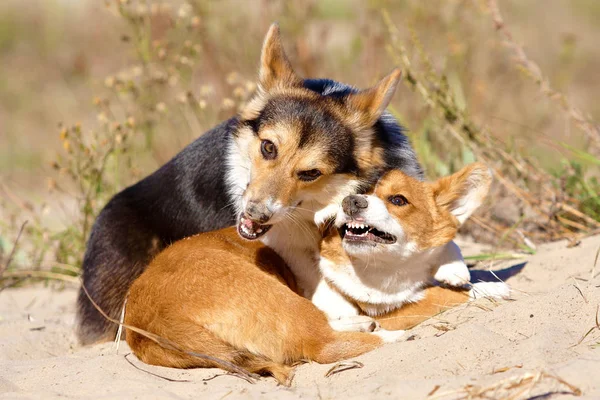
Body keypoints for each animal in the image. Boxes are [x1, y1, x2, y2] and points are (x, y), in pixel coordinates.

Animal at [125, 163, 506, 384]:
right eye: (358, 192)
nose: (351, 202)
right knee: (324, 344)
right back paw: (395, 336)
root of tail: (148, 325)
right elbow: (440, 296)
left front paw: (464, 275)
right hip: (275, 294)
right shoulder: (385, 301)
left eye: (398, 200)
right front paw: (476, 288)